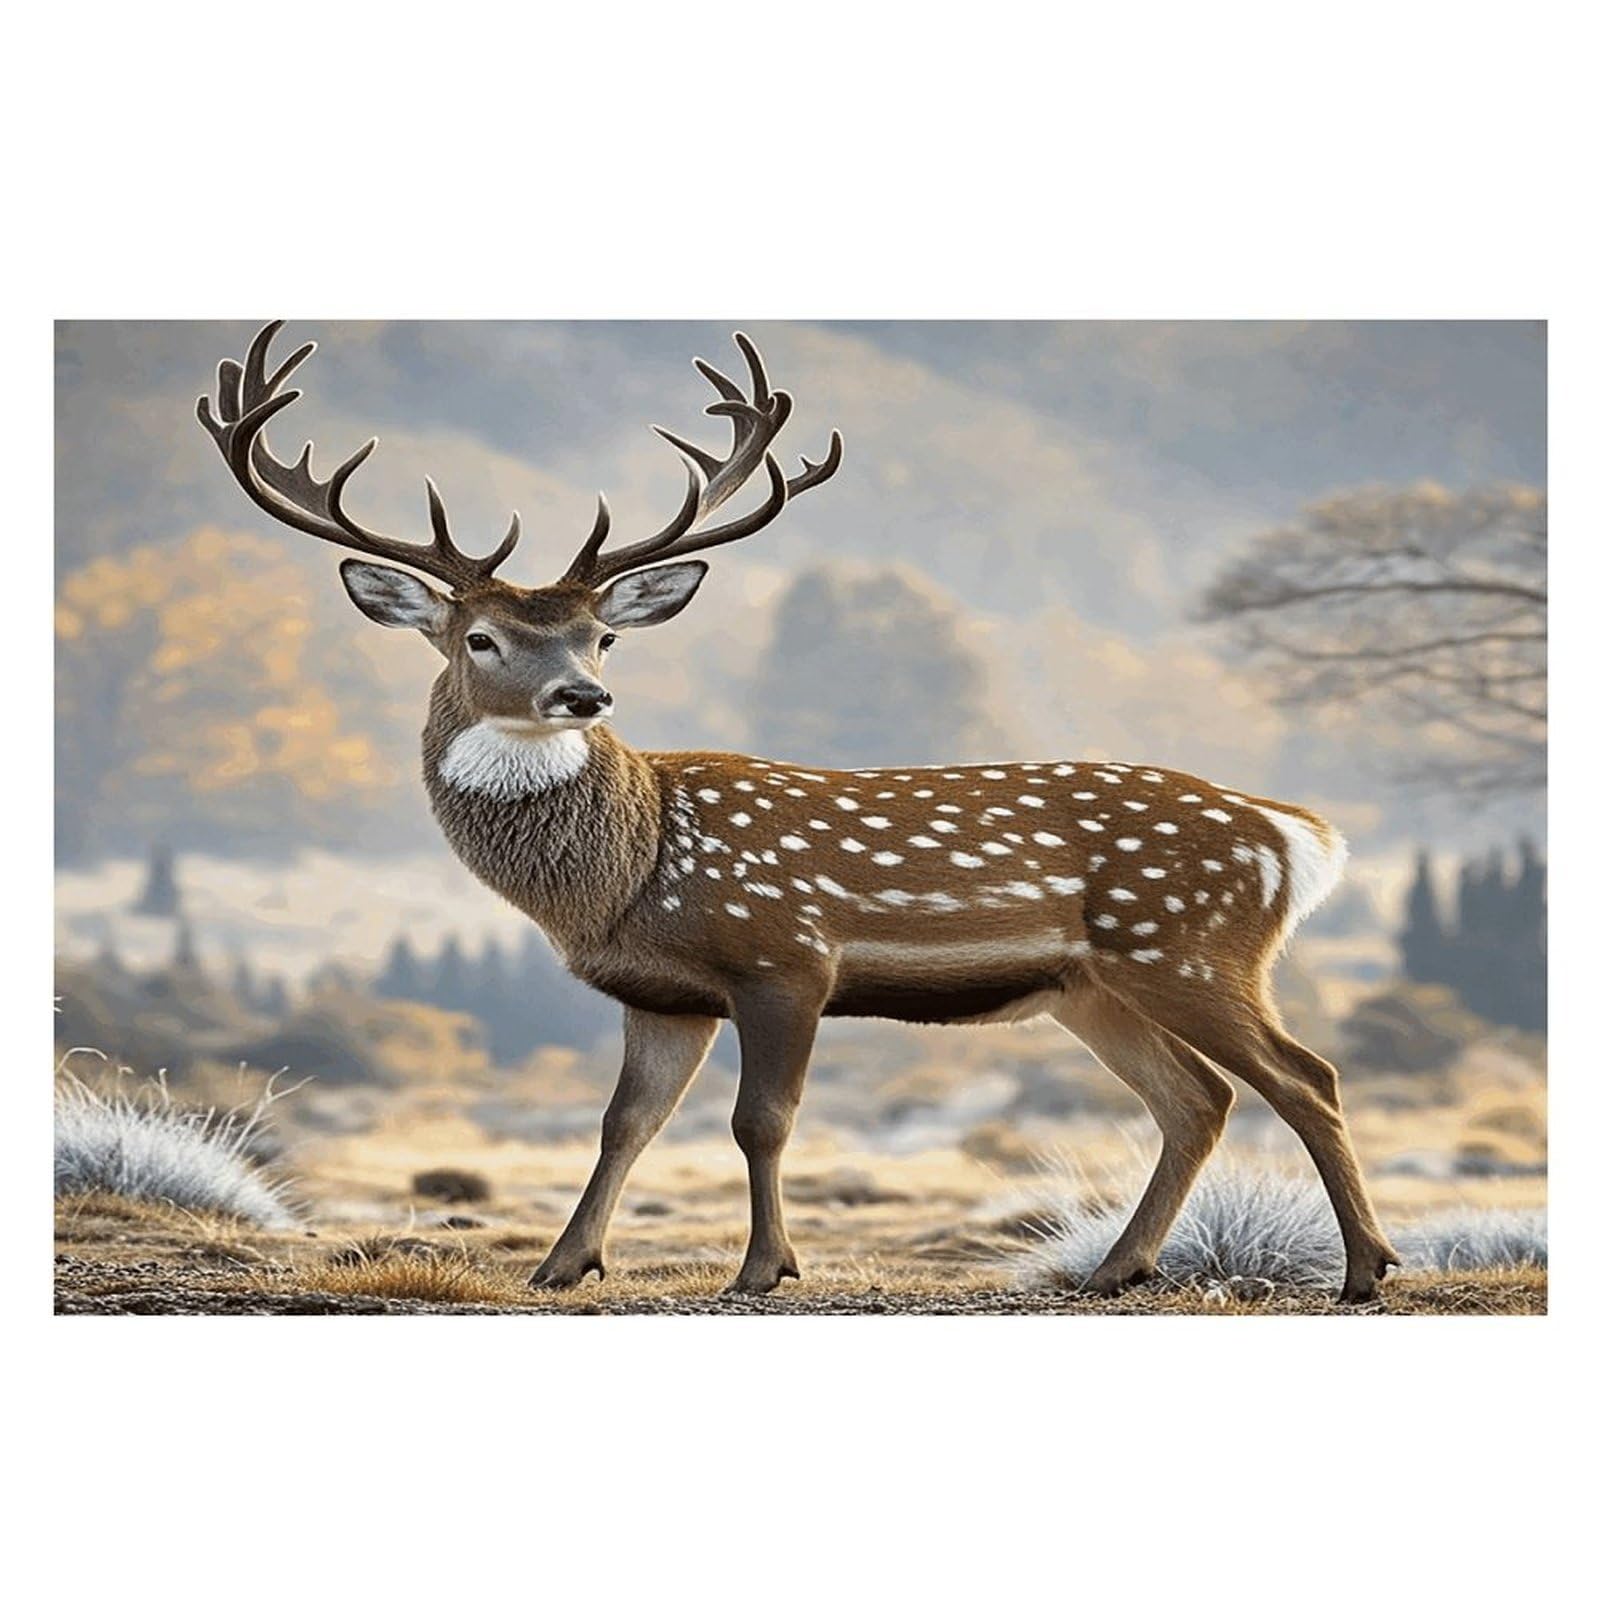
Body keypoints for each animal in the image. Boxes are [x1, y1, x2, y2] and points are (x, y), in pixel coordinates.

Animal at [198, 321, 1401, 1302]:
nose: (584, 696)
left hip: (1188, 944)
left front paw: (762, 1268)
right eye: (480, 637)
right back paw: (1116, 1268)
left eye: (603, 635)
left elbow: (759, 1120)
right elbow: (624, 1122)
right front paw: (561, 1264)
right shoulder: (663, 994)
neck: (629, 870)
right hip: (1092, 985)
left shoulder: (786, 955)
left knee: (1305, 1076)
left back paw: (1362, 1271)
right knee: (1196, 1098)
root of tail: (1298, 836)